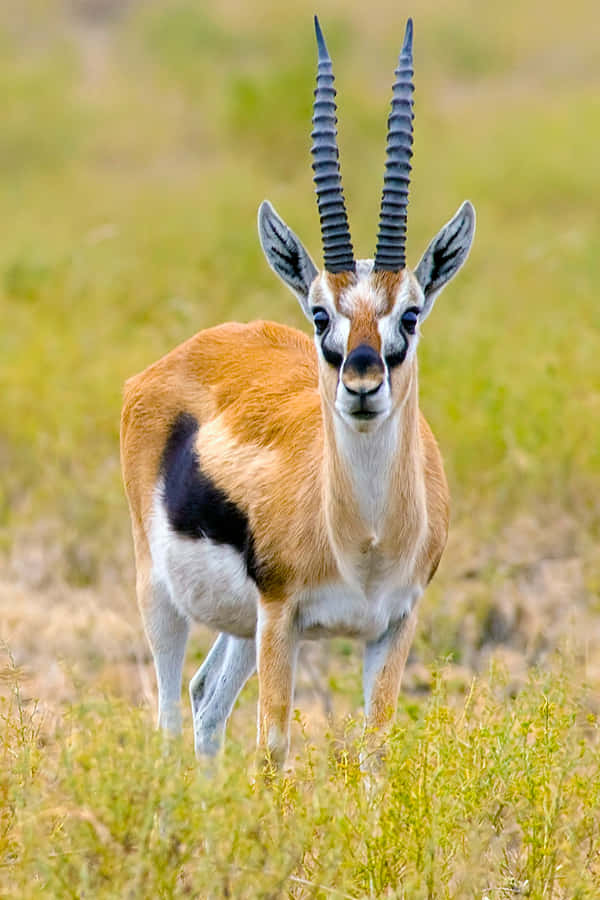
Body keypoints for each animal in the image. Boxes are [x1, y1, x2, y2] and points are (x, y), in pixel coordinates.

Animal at [120, 16, 475, 769]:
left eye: (411, 313)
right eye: (319, 315)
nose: (363, 381)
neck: (364, 539)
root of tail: (178, 357)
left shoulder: (392, 626)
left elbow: (375, 752)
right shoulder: (283, 615)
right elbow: (274, 750)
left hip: (239, 625)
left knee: (205, 698)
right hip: (163, 595)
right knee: (167, 714)